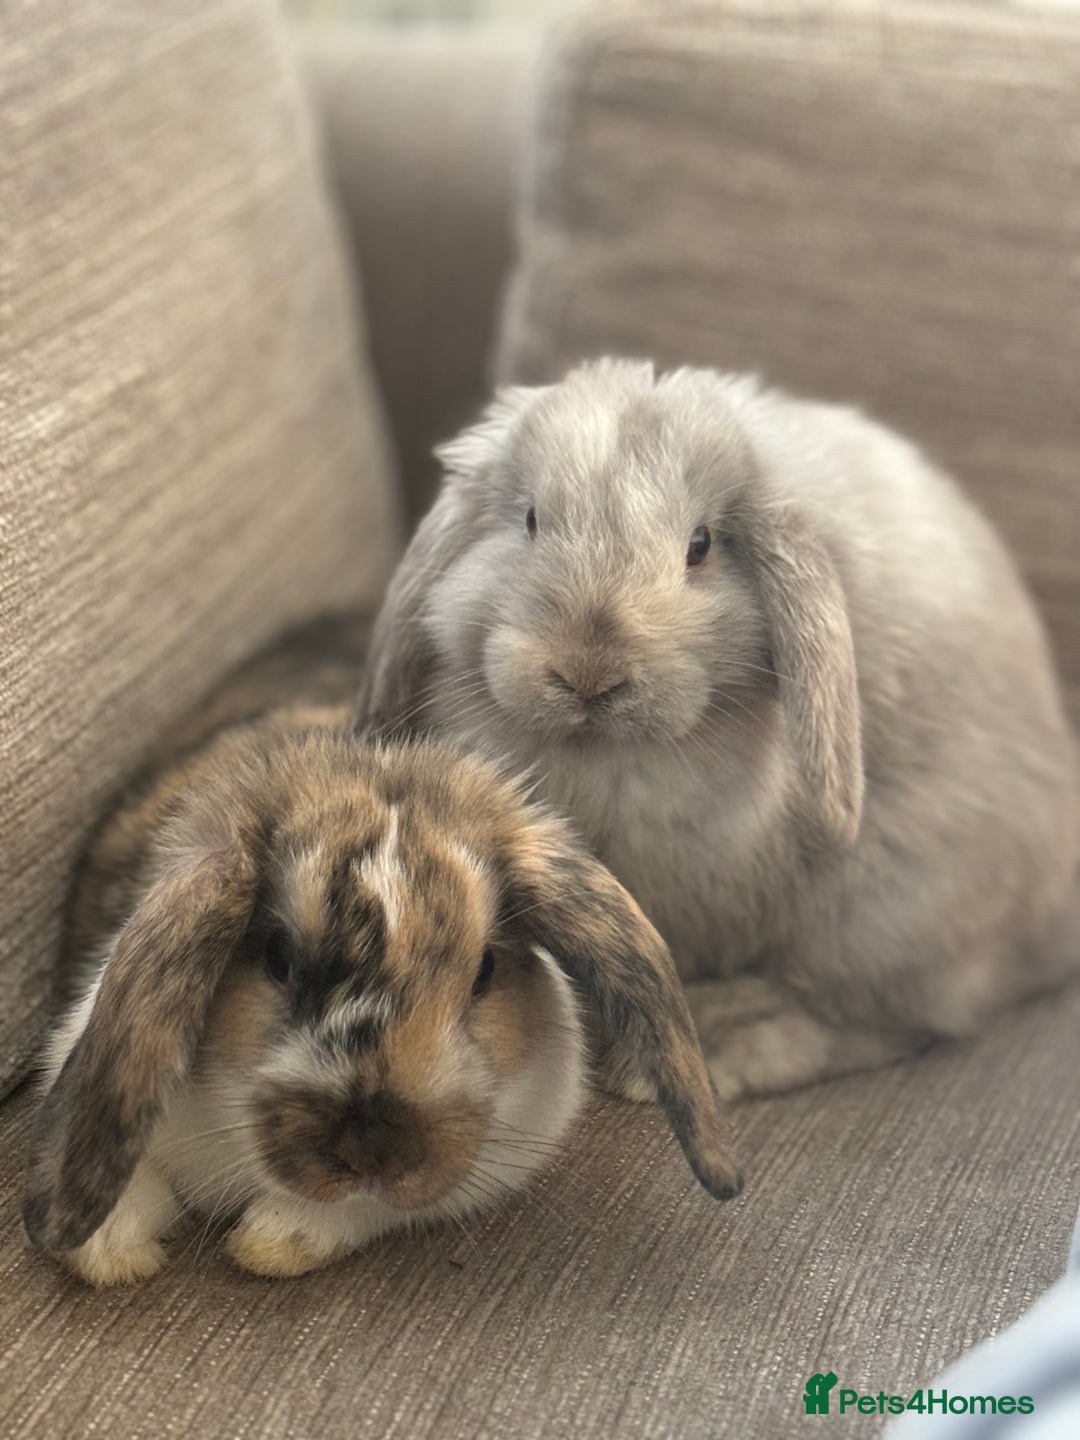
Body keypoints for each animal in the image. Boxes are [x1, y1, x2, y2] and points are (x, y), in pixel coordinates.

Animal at [24, 631, 741, 1287]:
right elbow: (131, 1178)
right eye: (277, 958)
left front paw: (272, 1242)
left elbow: (362, 1213)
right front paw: (113, 1253)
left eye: (484, 970)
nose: (374, 1153)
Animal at [356, 358, 1079, 1102]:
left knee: (879, 1021)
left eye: (699, 546)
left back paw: (716, 1047)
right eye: (529, 520)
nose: (590, 675)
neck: (606, 754)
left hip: (883, 912)